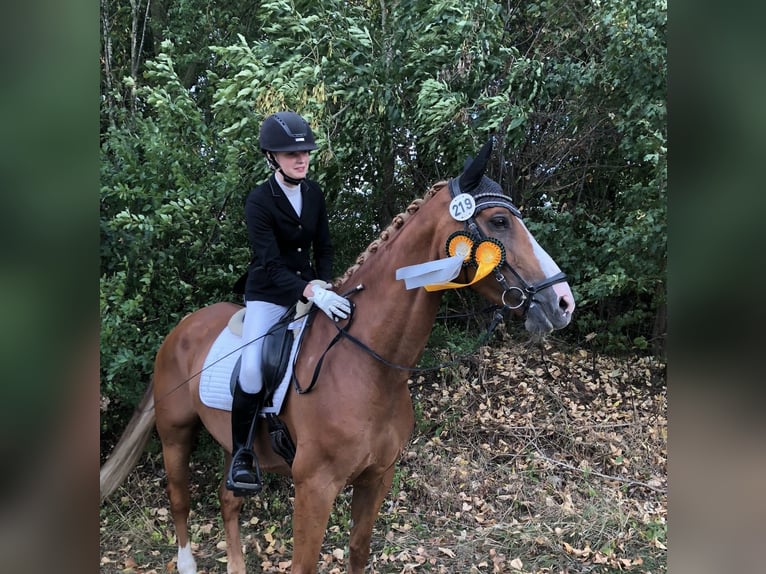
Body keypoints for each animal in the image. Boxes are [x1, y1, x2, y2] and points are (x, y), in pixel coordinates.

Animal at [105, 141, 580, 574]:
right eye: (499, 221)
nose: (563, 302)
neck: (368, 366)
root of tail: (182, 328)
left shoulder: (377, 478)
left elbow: (358, 550)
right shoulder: (315, 486)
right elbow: (304, 564)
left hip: (230, 439)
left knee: (229, 499)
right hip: (175, 433)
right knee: (180, 499)